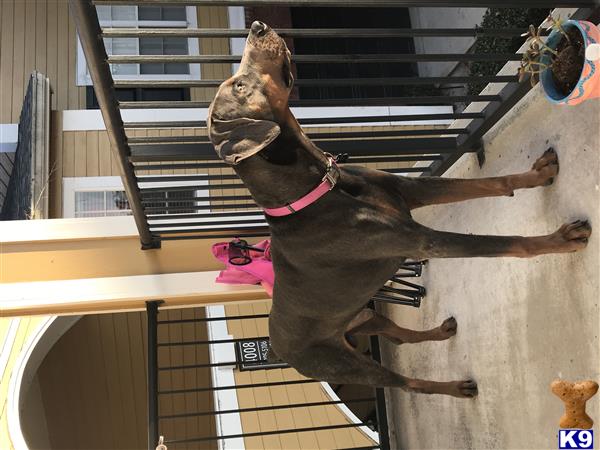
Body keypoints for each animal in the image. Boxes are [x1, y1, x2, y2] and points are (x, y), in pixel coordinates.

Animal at [209, 22, 592, 398]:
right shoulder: (419, 241)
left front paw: (538, 174)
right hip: (344, 363)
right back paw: (455, 388)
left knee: (399, 335)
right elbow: (502, 243)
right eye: (239, 85)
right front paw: (561, 239)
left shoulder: (410, 191)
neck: (319, 189)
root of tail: (276, 348)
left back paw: (439, 332)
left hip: (363, 316)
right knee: (410, 383)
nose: (257, 26)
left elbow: (487, 184)